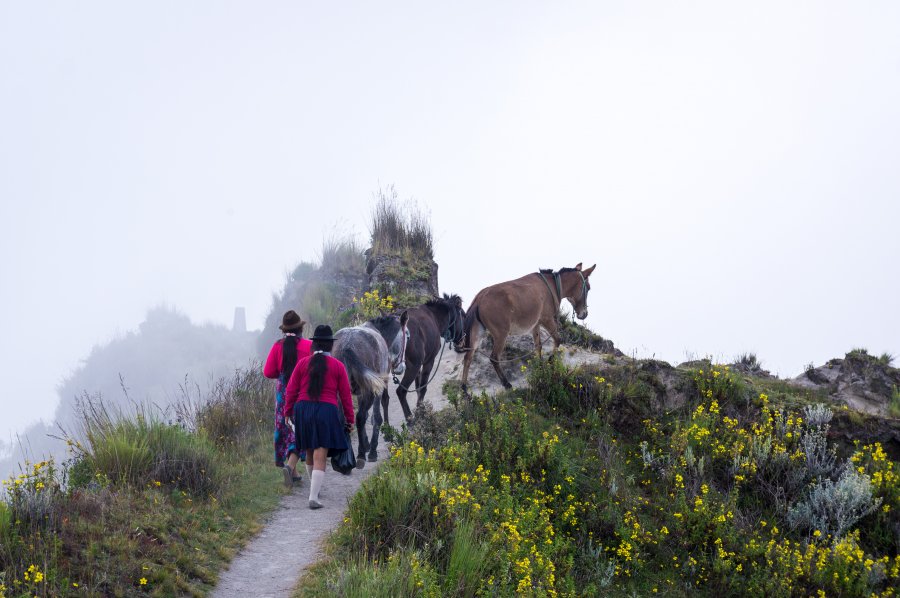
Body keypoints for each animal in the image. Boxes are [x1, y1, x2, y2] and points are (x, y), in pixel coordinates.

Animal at [334, 312, 412, 466]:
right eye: (407, 335)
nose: (401, 367)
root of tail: (347, 345)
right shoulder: (376, 389)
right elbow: (377, 415)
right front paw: (371, 448)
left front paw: (365, 443)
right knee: (360, 417)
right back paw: (362, 455)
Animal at [458, 264, 596, 394]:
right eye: (588, 287)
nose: (584, 314)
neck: (552, 286)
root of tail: (480, 298)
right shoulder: (547, 320)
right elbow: (558, 339)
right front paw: (550, 361)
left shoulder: (536, 325)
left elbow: (538, 346)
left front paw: (540, 368)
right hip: (501, 335)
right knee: (494, 358)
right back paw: (506, 383)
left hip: (477, 332)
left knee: (468, 357)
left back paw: (464, 389)